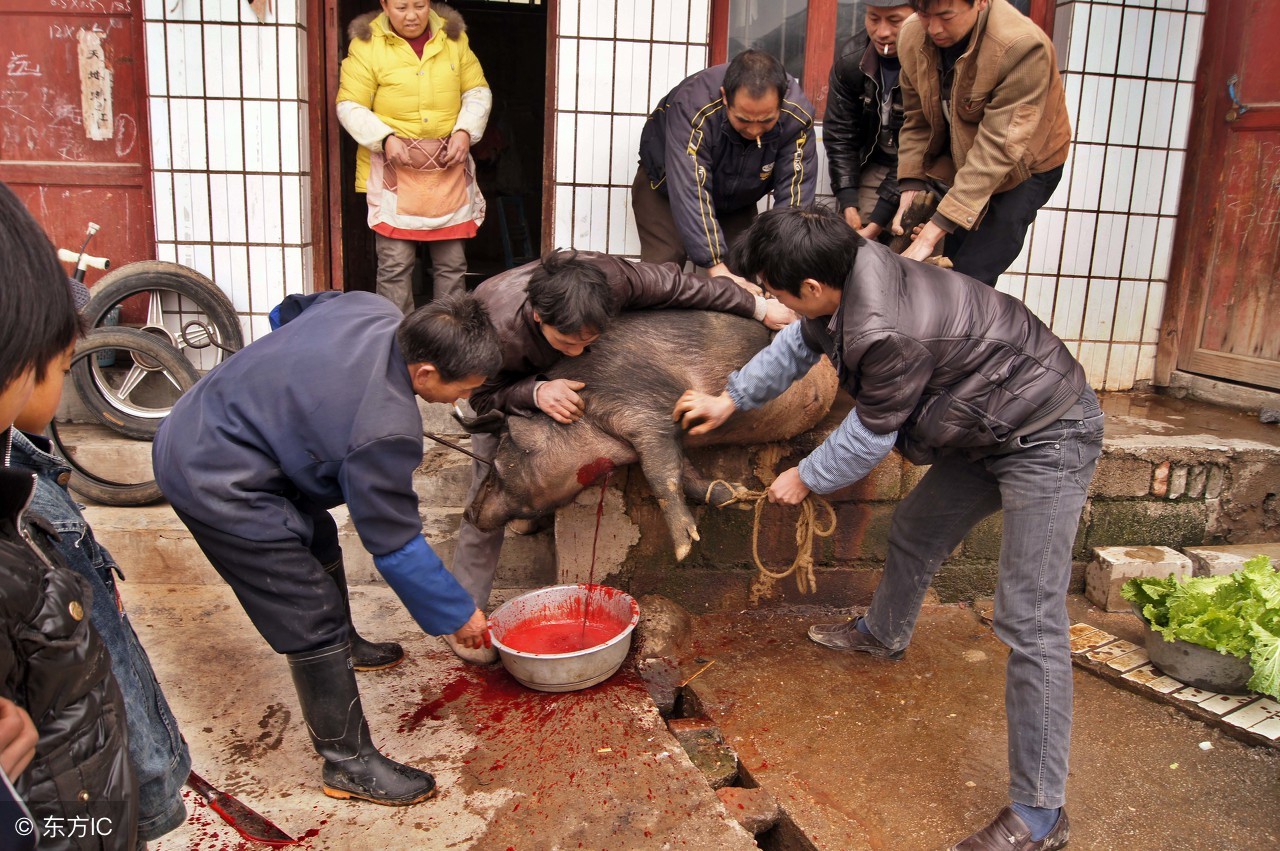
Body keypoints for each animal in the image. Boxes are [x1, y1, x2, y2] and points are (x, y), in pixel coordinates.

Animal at [460, 308, 839, 560]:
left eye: (496, 468)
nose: (468, 513)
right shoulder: (666, 432)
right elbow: (685, 474)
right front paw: (738, 497)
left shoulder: (648, 409)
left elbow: (661, 474)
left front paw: (684, 549)